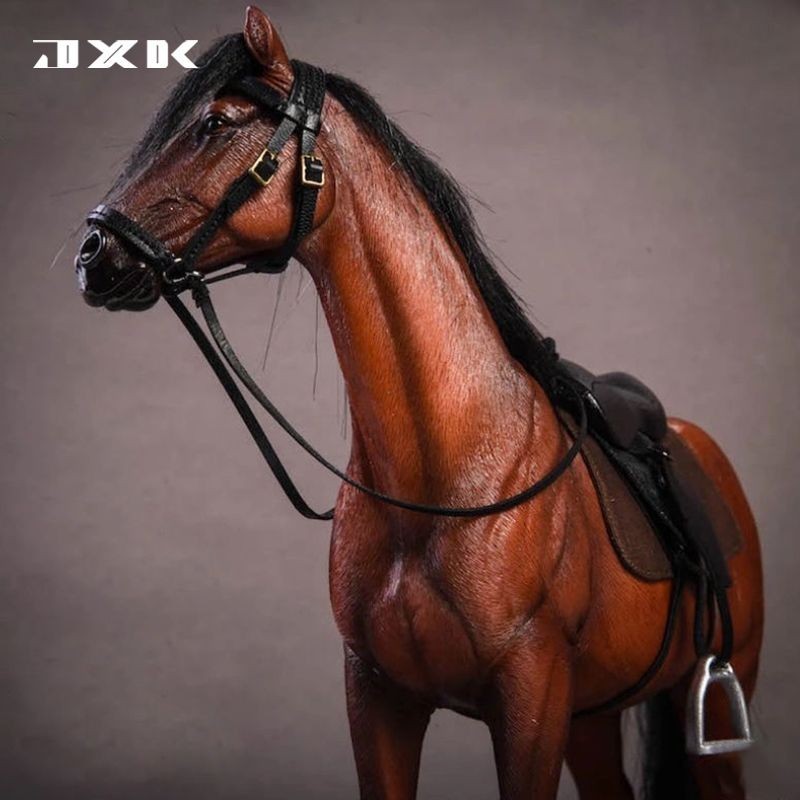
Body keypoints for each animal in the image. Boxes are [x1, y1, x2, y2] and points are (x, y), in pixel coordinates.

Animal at [76, 7, 763, 799]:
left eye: (215, 124)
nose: (93, 253)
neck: (443, 471)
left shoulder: (529, 707)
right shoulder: (377, 699)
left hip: (708, 708)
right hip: (592, 716)